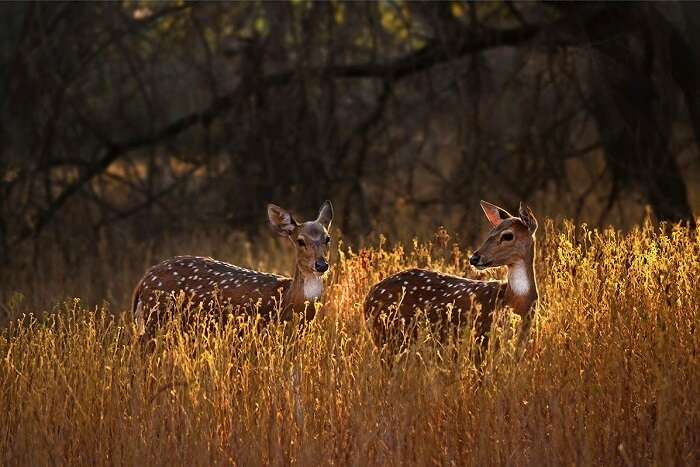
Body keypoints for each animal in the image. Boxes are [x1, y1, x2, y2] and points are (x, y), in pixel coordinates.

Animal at [131, 200, 333, 338]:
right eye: (300, 241)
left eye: (328, 238)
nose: (321, 265)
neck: (287, 300)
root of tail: (144, 280)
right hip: (155, 318)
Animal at [363, 200, 538, 356]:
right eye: (490, 233)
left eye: (508, 236)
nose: (474, 258)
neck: (514, 302)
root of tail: (369, 295)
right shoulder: (481, 336)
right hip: (388, 336)